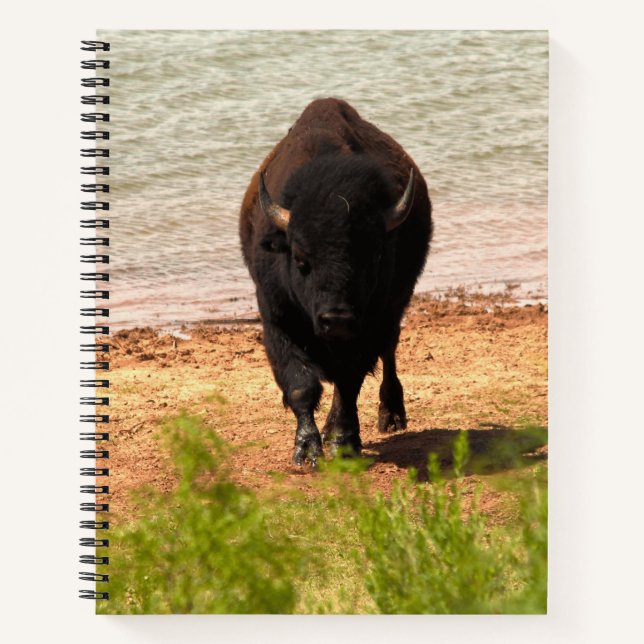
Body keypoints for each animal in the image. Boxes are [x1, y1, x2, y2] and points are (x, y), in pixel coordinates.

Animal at [239, 98, 432, 465]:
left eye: (374, 256)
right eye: (301, 259)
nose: (337, 319)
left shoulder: (369, 327)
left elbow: (348, 382)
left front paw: (342, 443)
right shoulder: (278, 320)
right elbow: (301, 385)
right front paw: (307, 450)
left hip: (394, 310)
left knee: (388, 353)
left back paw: (391, 415)